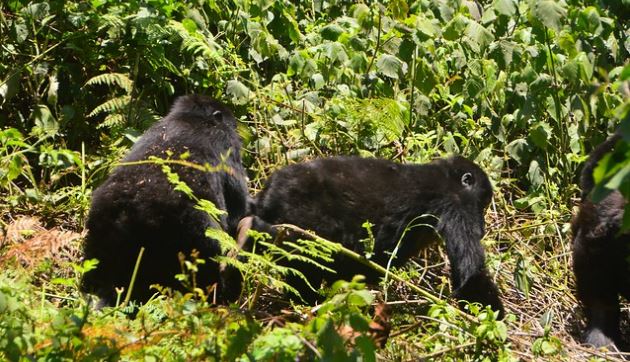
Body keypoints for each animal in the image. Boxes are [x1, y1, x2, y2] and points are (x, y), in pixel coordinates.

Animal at [244, 156, 506, 316]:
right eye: (482, 204)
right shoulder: (457, 204)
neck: (448, 175)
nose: (484, 225)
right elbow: (471, 273)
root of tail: (266, 196)